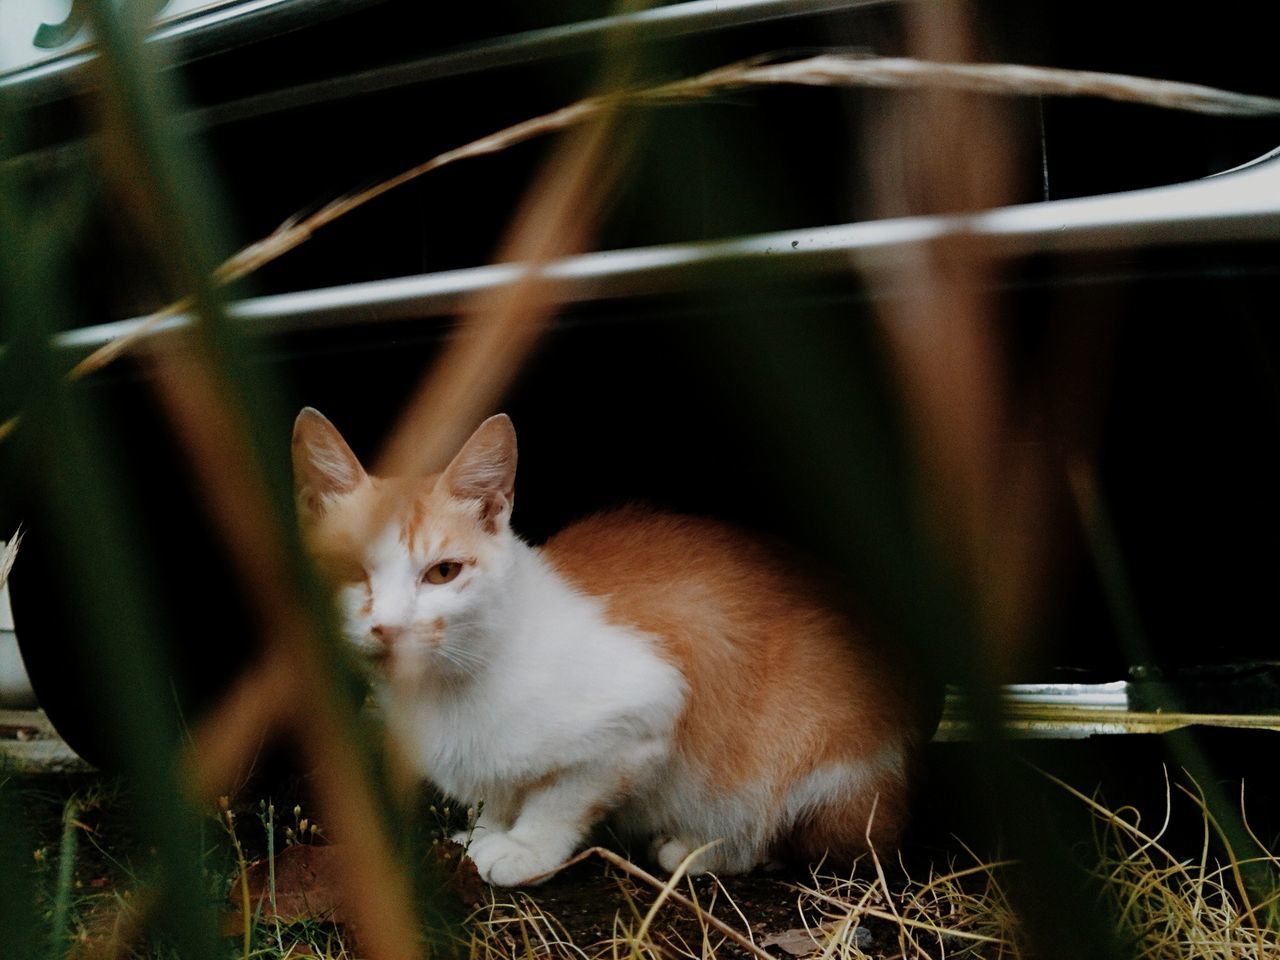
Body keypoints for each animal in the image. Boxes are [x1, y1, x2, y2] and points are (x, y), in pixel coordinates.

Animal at [295, 409, 926, 890]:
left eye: (443, 572)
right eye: (350, 570)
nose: (388, 627)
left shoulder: (646, 712)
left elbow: (562, 798)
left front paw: (522, 848)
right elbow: (499, 793)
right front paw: (486, 831)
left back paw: (703, 849)